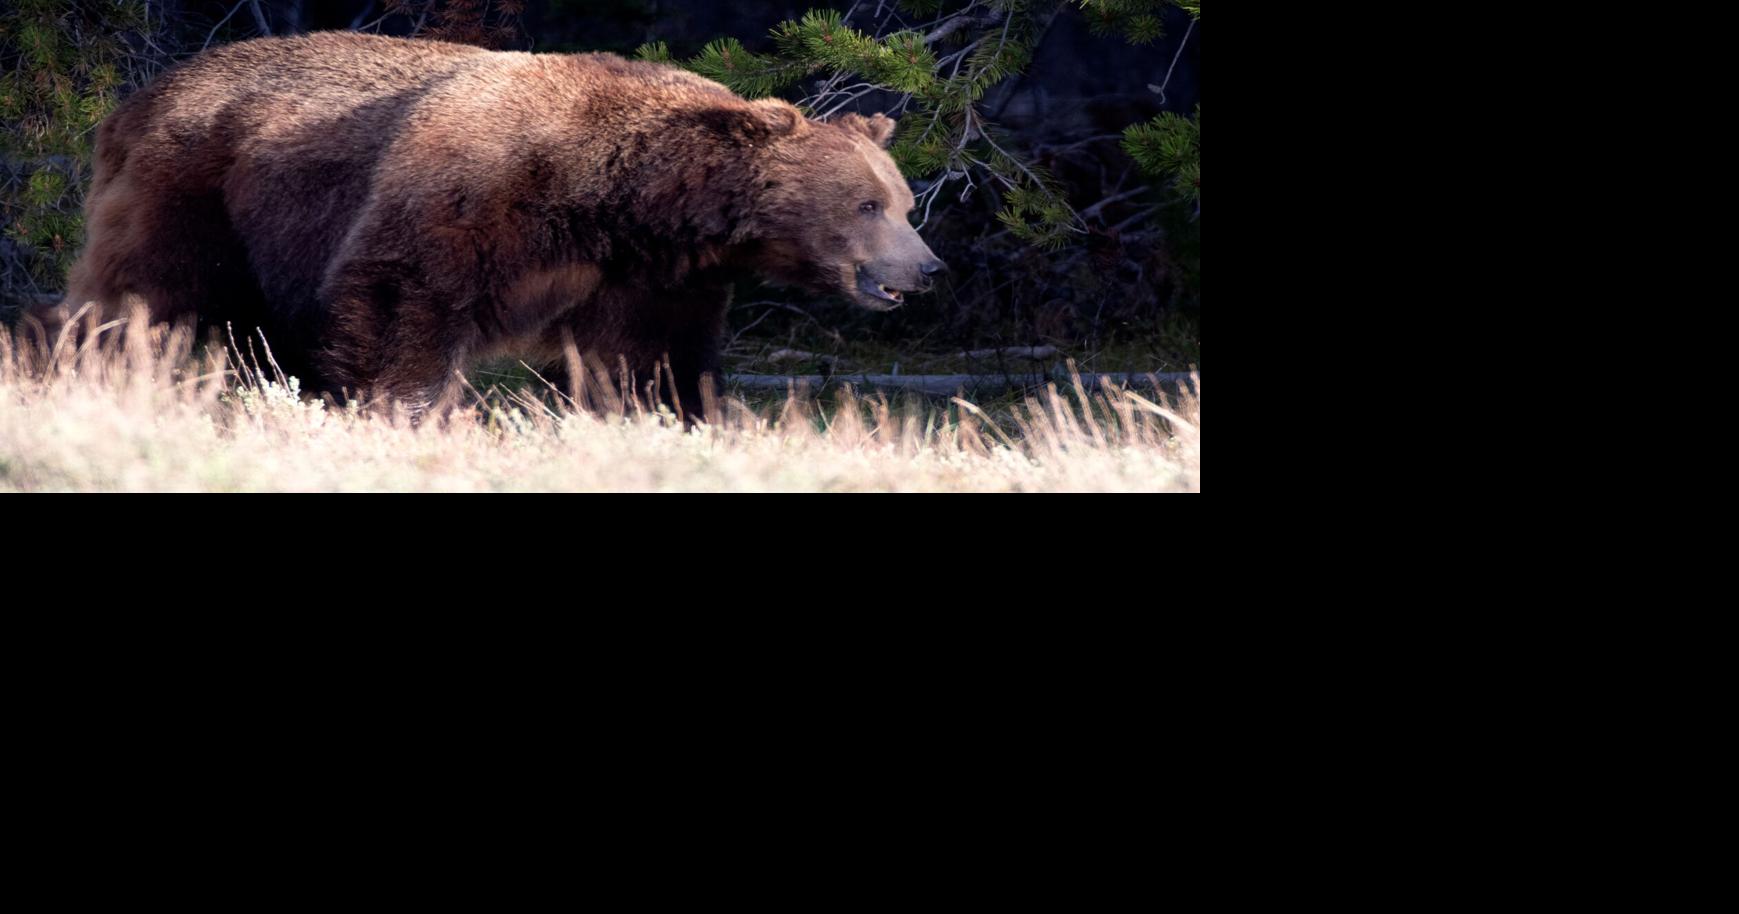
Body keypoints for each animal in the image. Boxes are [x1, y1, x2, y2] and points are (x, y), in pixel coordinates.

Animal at [57, 31, 945, 419]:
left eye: (903, 203)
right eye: (865, 204)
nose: (927, 267)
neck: (614, 198)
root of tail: (133, 102)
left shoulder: (649, 271)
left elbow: (645, 355)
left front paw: (671, 413)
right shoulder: (472, 189)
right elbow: (401, 299)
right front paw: (404, 407)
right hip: (196, 194)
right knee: (143, 295)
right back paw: (92, 367)